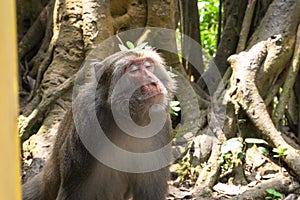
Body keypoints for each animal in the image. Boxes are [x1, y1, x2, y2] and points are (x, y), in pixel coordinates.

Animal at [22, 48, 176, 200]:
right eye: (133, 69)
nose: (153, 82)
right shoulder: (89, 124)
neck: (130, 121)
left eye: (148, 65)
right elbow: (74, 189)